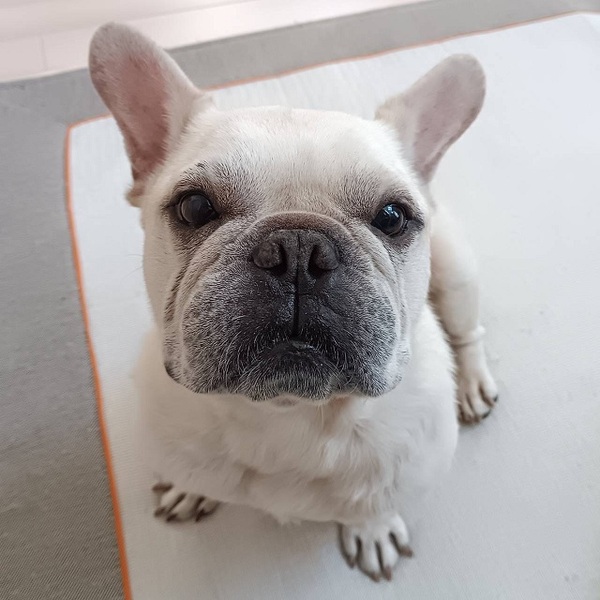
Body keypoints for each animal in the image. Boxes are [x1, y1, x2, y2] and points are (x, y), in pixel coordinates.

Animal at [89, 23, 498, 581]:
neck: (287, 416)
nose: (298, 248)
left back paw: (472, 384)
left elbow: (375, 503)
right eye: (194, 206)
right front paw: (190, 489)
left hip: (456, 272)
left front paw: (371, 528)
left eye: (392, 216)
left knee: (469, 333)